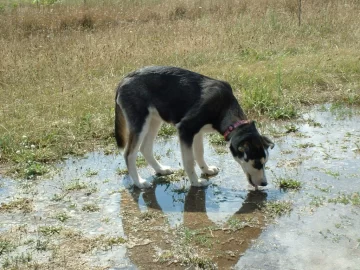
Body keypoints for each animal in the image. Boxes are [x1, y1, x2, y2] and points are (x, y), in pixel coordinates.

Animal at [114, 67, 274, 190]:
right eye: (257, 163)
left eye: (265, 162)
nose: (265, 183)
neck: (224, 108)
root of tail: (124, 80)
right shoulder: (185, 129)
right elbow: (189, 160)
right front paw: (195, 182)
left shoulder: (197, 132)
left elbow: (199, 153)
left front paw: (207, 170)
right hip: (140, 123)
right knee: (129, 154)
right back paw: (139, 182)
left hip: (154, 120)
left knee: (145, 148)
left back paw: (160, 170)